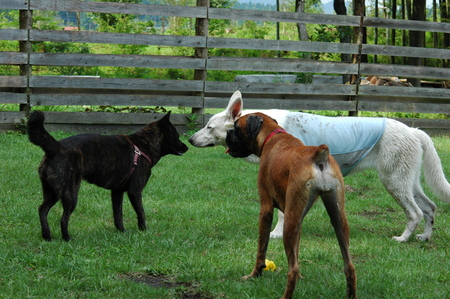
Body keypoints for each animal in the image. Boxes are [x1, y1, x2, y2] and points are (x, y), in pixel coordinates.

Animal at [26, 111, 188, 243]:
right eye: (177, 136)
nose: (186, 147)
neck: (143, 145)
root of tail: (56, 147)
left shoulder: (117, 192)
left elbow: (118, 214)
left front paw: (122, 231)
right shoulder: (135, 191)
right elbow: (141, 212)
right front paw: (143, 230)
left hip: (52, 192)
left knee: (42, 210)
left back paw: (47, 236)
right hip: (70, 194)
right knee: (63, 218)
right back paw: (67, 238)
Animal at [190, 90, 450, 243]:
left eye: (209, 127)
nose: (190, 140)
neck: (270, 129)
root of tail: (413, 131)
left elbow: (283, 215)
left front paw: (276, 234)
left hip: (394, 183)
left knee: (415, 213)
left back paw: (403, 238)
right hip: (408, 183)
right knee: (430, 208)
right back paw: (425, 237)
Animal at [227, 113, 356, 299]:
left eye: (236, 127)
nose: (227, 133)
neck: (272, 135)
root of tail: (318, 155)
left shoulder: (266, 208)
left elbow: (261, 248)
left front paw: (255, 274)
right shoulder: (299, 221)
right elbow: (296, 251)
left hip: (289, 222)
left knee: (292, 270)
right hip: (337, 219)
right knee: (350, 266)